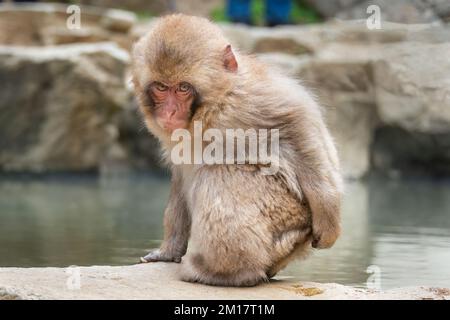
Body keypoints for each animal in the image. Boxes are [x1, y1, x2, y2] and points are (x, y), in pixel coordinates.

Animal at [132, 13, 342, 286]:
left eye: (183, 88)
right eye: (161, 87)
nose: (168, 112)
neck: (211, 107)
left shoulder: (250, 99)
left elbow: (300, 123)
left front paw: (328, 219)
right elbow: (181, 176)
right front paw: (168, 251)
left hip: (287, 216)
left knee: (219, 171)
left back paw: (221, 272)